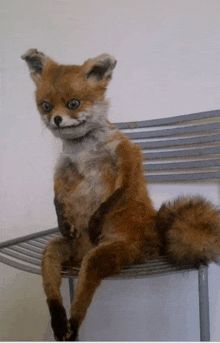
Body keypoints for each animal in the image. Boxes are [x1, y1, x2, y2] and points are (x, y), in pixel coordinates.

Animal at [21, 49, 220, 342]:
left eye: (73, 103)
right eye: (46, 105)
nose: (55, 119)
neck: (84, 152)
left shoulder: (127, 160)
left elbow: (114, 197)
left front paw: (95, 220)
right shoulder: (62, 171)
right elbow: (57, 197)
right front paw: (62, 217)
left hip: (102, 256)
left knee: (83, 294)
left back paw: (74, 323)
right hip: (54, 251)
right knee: (53, 289)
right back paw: (59, 322)